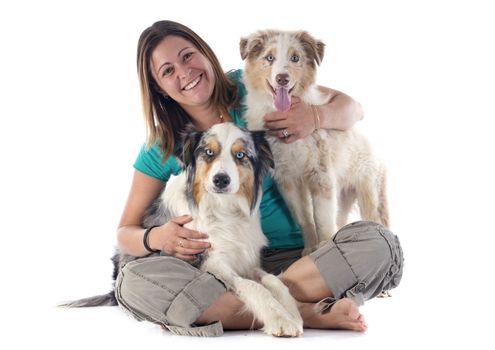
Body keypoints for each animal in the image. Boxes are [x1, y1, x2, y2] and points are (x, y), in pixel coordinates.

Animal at [241, 30, 392, 253]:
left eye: (295, 58)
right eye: (269, 58)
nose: (282, 79)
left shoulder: (321, 175)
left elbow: (321, 219)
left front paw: (322, 247)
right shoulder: (288, 180)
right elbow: (305, 218)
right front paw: (310, 248)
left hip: (369, 190)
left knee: (375, 221)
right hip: (344, 195)